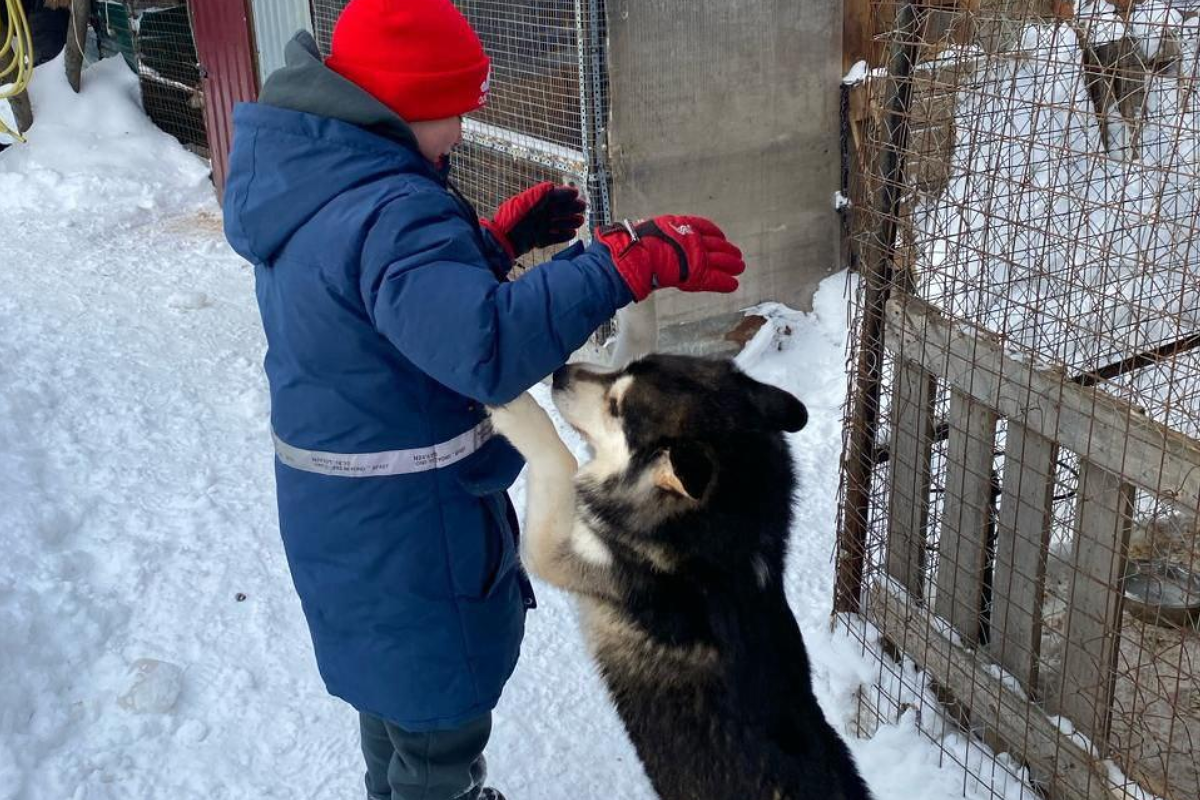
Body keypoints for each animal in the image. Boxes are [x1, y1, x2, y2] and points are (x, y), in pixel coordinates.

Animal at [487, 355, 873, 800]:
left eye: (616, 407)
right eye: (624, 368)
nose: (559, 373)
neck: (727, 544)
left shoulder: (562, 554)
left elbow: (560, 462)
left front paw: (518, 410)